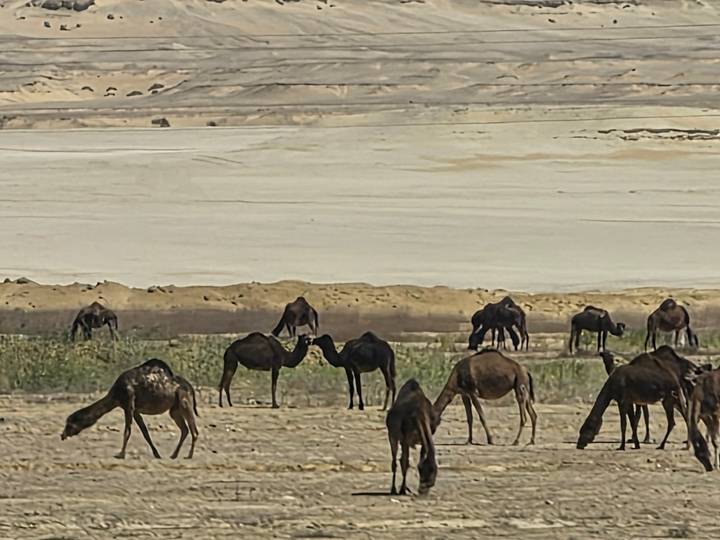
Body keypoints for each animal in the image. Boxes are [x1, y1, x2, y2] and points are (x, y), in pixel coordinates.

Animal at [61, 359, 199, 459]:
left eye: (70, 423)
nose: (62, 435)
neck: (116, 394)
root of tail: (189, 386)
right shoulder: (135, 410)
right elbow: (145, 432)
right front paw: (157, 454)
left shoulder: (128, 404)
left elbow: (127, 430)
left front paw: (120, 454)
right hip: (174, 410)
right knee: (185, 429)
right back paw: (174, 455)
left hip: (184, 402)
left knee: (194, 430)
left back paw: (189, 456)